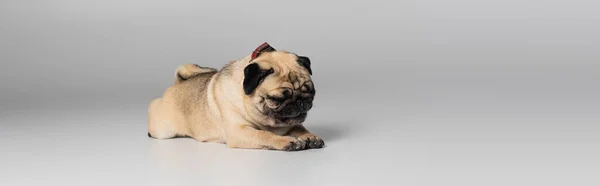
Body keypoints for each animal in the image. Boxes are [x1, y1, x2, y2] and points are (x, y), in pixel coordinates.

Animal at [146, 42, 324, 151]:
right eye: (276, 99)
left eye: (310, 92)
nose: (300, 102)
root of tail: (178, 83)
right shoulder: (239, 132)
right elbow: (264, 134)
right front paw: (286, 141)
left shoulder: (292, 124)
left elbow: (300, 128)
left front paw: (310, 136)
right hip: (162, 129)